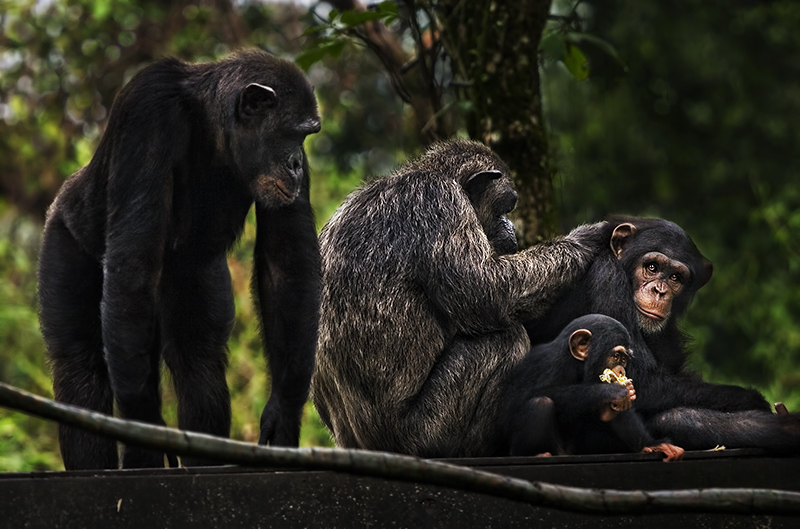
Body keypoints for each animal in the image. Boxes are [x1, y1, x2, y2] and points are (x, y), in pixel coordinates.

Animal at [39, 50, 322, 470]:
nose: (297, 164)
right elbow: (133, 265)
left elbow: (285, 263)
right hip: (64, 234)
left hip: (194, 280)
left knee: (197, 359)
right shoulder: (148, 113)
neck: (212, 127)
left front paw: (283, 414)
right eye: (293, 132)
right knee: (79, 362)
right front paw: (144, 426)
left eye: (305, 136)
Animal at [310, 140, 608, 458]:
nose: (511, 225)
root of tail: (369, 447)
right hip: (426, 433)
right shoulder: (440, 201)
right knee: (501, 341)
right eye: (505, 208)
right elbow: (487, 290)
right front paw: (581, 240)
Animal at [500, 314, 680, 458]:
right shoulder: (552, 364)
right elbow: (525, 397)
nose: (622, 370)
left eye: (624, 359)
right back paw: (534, 453)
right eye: (616, 356)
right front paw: (612, 391)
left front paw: (650, 444)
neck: (577, 364)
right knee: (540, 403)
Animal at [524, 217, 800, 452]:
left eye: (676, 277)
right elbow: (640, 381)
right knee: (677, 418)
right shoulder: (607, 279)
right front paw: (753, 400)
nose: (659, 290)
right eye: (652, 267)